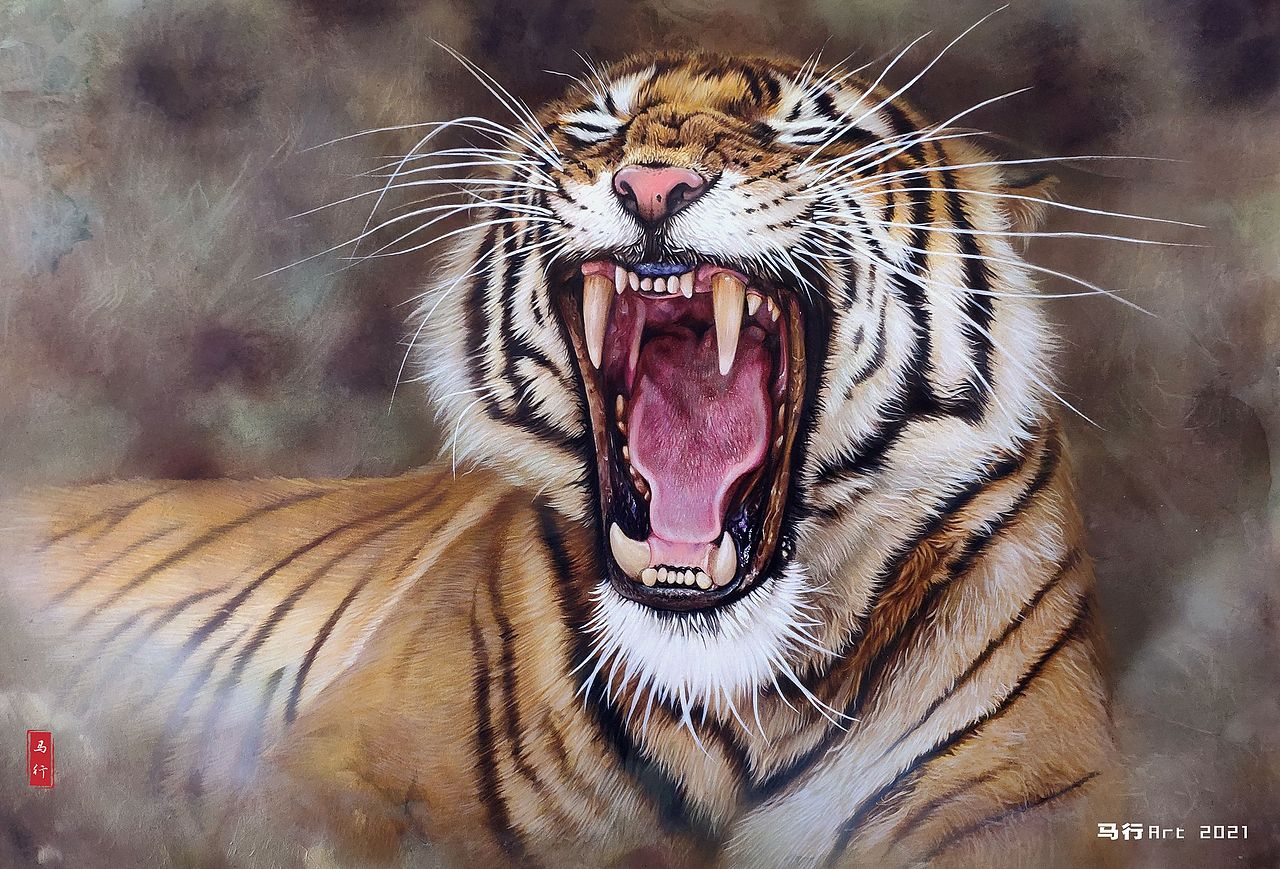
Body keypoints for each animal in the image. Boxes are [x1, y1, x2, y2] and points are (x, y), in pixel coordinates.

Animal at [1, 48, 1125, 869]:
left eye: (811, 132)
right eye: (597, 130)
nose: (653, 182)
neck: (744, 697)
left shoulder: (1021, 803)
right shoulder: (335, 772)